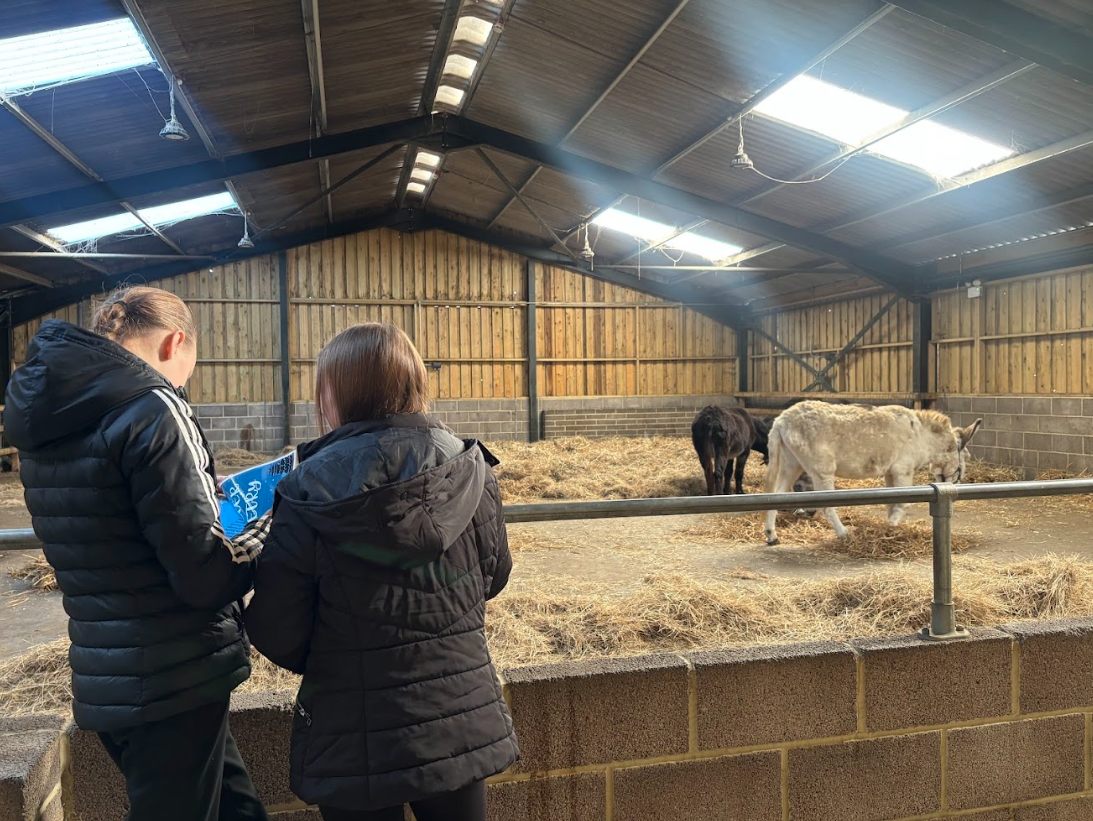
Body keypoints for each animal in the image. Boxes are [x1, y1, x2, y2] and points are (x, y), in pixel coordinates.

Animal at [762, 401, 982, 545]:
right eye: (966, 458)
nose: (956, 484)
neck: (923, 437)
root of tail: (782, 420)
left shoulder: (890, 473)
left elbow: (892, 502)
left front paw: (889, 526)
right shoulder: (903, 470)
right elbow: (903, 503)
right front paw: (891, 527)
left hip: (792, 464)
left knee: (776, 495)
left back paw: (772, 535)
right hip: (821, 470)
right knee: (826, 507)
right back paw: (844, 534)